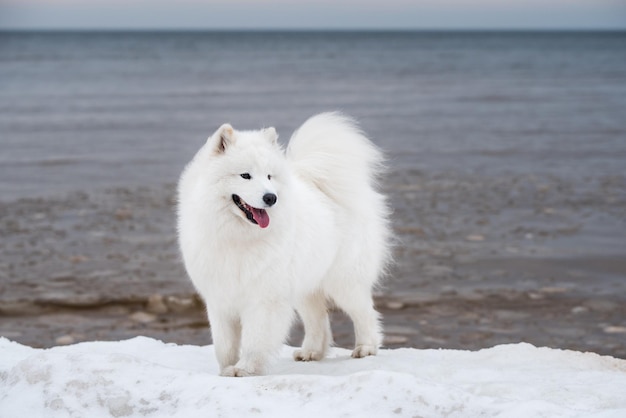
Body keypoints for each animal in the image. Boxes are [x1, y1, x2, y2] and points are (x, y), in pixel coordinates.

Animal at [177, 112, 390, 378]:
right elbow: (224, 345)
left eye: (269, 176)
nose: (271, 197)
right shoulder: (220, 298)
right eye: (245, 175)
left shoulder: (264, 298)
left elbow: (255, 340)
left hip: (343, 282)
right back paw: (311, 352)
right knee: (318, 319)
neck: (238, 237)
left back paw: (365, 348)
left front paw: (245, 369)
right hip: (305, 285)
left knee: (365, 313)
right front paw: (226, 369)